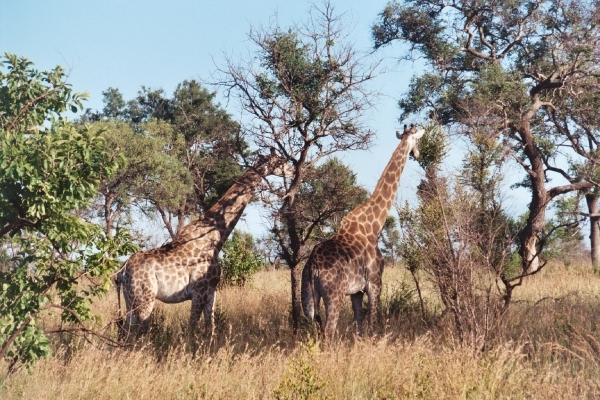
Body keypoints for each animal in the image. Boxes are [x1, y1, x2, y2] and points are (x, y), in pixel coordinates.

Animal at [116, 149, 290, 338]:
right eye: (281, 161)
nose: (292, 170)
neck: (216, 238)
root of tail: (122, 271)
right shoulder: (199, 291)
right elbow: (191, 328)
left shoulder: (211, 291)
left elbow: (210, 328)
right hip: (145, 299)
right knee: (140, 333)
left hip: (129, 299)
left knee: (126, 332)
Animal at [302, 125, 424, 340]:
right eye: (417, 140)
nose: (417, 154)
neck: (373, 225)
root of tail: (312, 265)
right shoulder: (375, 283)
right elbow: (372, 326)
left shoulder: (356, 291)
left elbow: (359, 328)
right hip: (334, 294)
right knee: (329, 332)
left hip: (309, 298)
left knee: (317, 330)